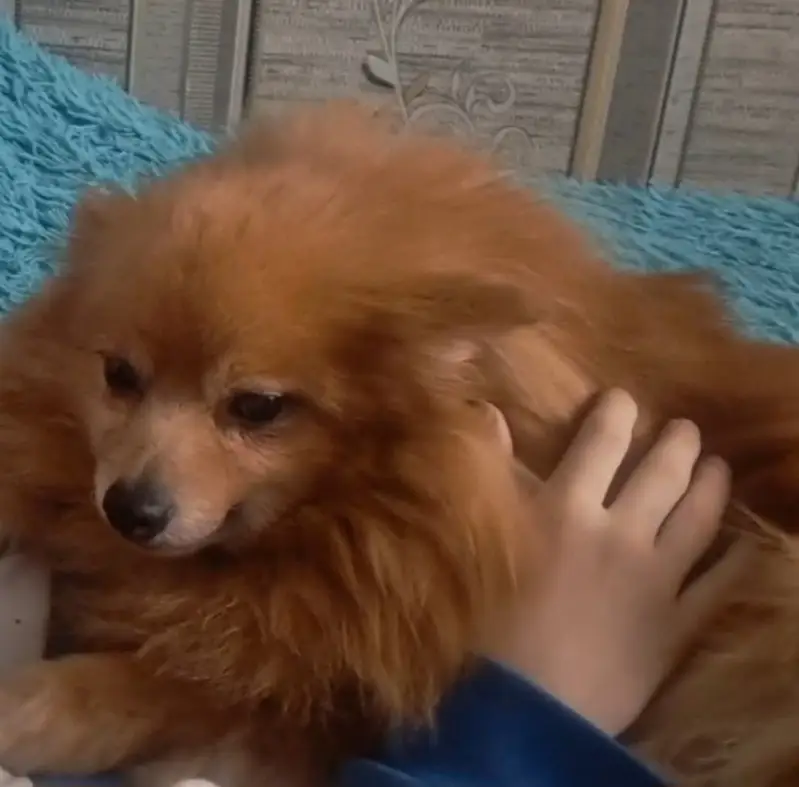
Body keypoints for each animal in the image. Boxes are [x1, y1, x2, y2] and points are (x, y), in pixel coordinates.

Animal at [0, 101, 796, 787]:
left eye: (257, 407)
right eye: (119, 375)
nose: (130, 509)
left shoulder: (325, 694)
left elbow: (158, 684)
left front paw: (32, 705)